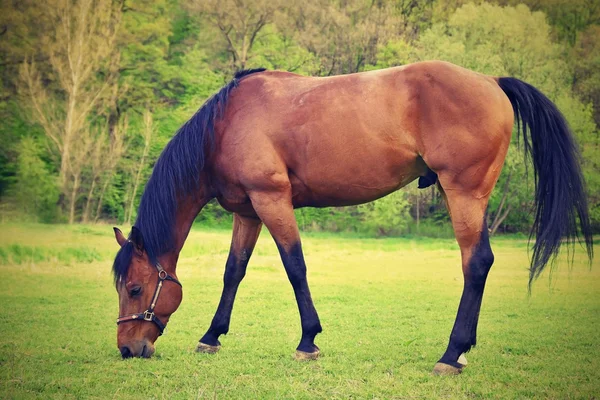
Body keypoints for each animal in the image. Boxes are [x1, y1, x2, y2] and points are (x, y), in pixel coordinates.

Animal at [110, 60, 592, 376]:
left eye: (135, 288)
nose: (128, 349)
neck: (228, 123)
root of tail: (490, 81)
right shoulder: (248, 211)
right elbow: (234, 271)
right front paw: (212, 336)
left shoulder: (272, 200)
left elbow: (295, 267)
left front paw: (308, 341)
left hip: (463, 194)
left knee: (476, 263)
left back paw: (451, 354)